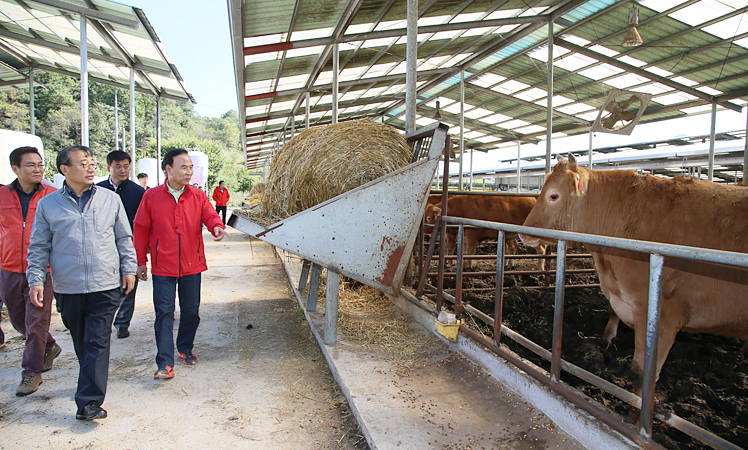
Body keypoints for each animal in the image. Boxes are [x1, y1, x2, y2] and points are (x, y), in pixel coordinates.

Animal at [520, 154, 748, 398]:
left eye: (553, 195)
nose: (523, 234)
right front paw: (607, 338)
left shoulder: (662, 316)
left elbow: (642, 374)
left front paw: (636, 406)